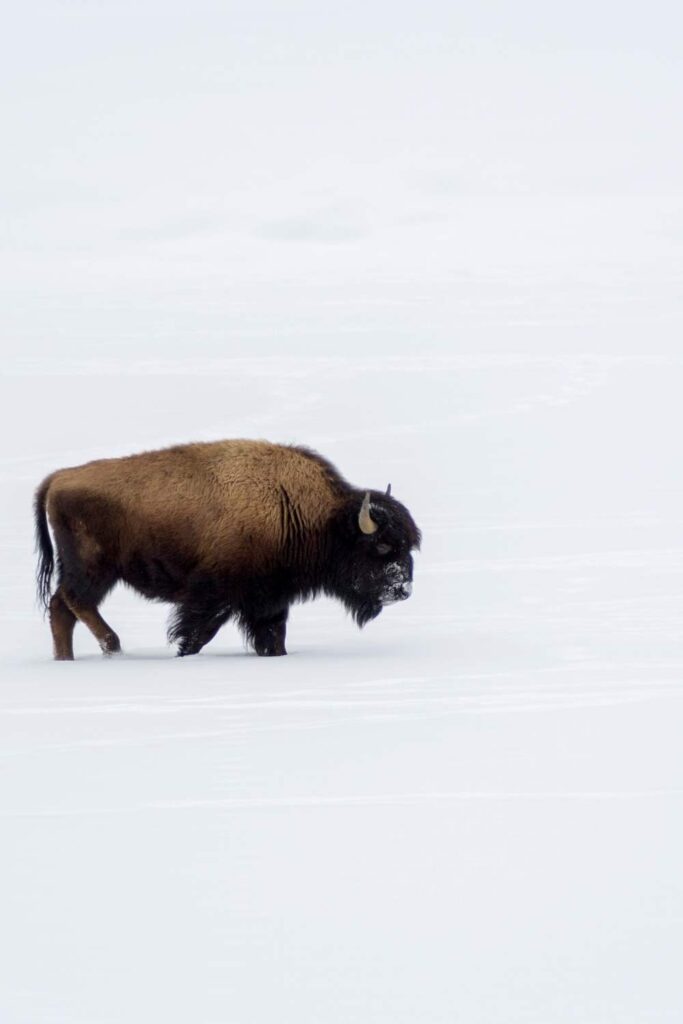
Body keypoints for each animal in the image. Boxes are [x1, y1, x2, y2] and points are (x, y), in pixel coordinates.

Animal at [34, 439, 421, 660]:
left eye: (410, 546)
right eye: (382, 545)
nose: (402, 590)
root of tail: (58, 478)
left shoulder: (269, 601)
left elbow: (273, 638)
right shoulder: (214, 597)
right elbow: (196, 634)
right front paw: (183, 655)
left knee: (62, 609)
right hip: (94, 569)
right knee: (74, 603)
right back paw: (112, 646)